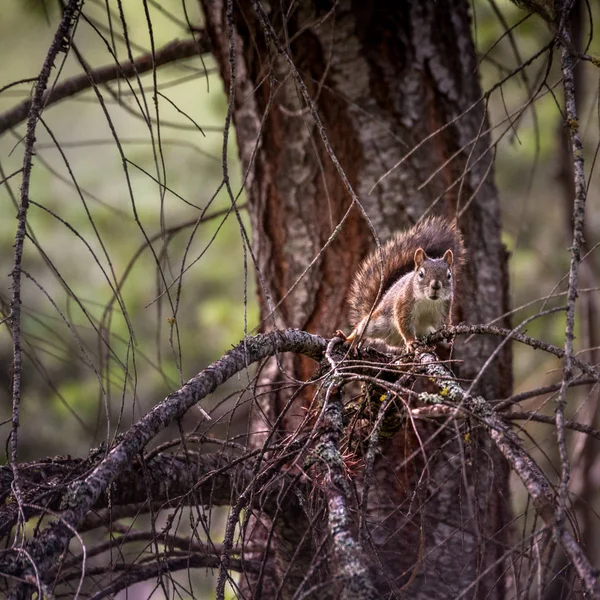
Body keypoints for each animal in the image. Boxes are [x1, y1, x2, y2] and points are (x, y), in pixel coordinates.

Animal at [344, 216, 466, 350]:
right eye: (421, 274)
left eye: (449, 275)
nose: (436, 285)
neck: (428, 301)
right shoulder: (403, 304)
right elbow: (404, 324)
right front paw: (411, 342)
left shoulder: (444, 307)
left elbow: (443, 323)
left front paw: (449, 331)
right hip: (378, 322)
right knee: (361, 329)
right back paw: (349, 340)